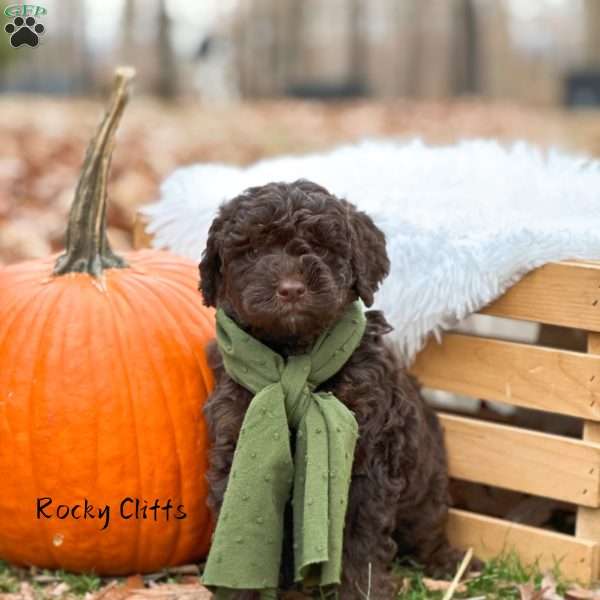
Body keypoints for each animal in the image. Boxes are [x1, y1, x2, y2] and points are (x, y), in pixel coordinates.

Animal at [199, 179, 466, 600]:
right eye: (253, 250)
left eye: (323, 246)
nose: (291, 289)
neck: (295, 357)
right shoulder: (235, 437)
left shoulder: (370, 459)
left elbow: (360, 539)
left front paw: (363, 591)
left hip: (427, 488)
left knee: (428, 527)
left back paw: (446, 562)